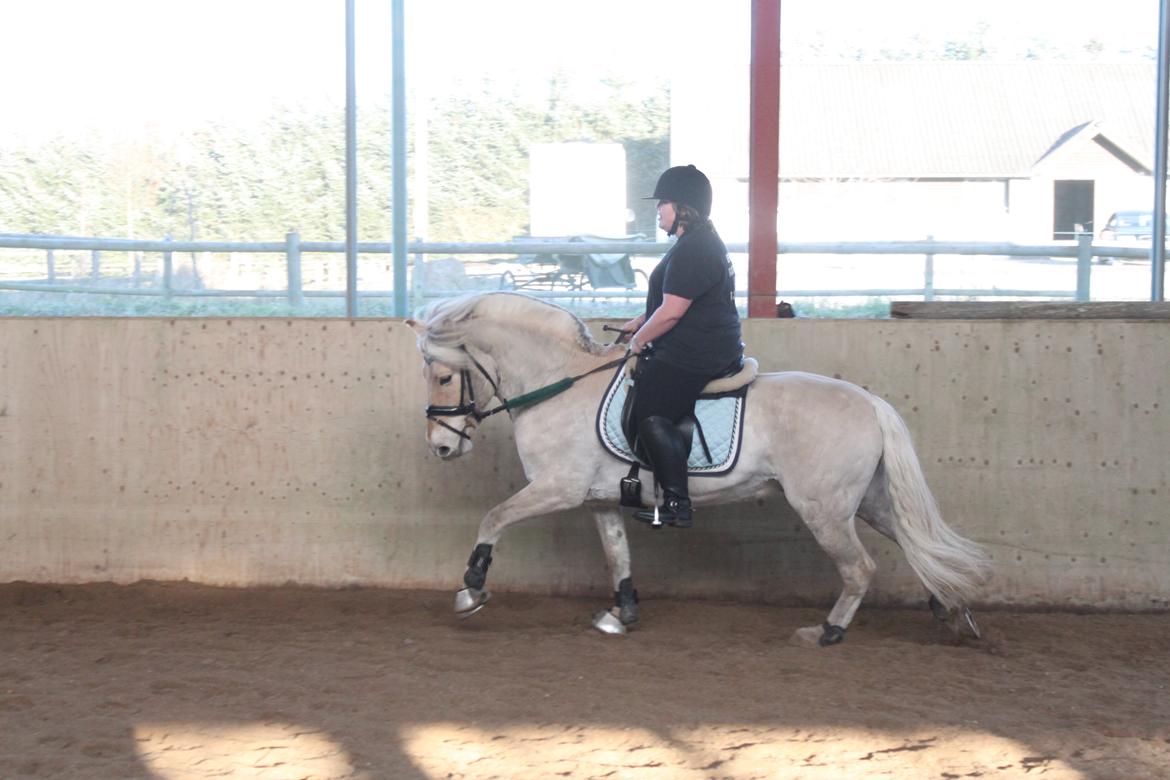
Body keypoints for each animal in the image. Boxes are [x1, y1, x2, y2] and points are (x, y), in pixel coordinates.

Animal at [407, 292, 992, 645]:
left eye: (443, 377)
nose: (441, 447)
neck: (559, 384)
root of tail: (870, 402)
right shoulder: (599, 499)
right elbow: (617, 555)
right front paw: (621, 613)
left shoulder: (559, 487)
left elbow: (493, 518)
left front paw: (471, 589)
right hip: (865, 501)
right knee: (913, 542)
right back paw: (949, 606)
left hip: (824, 509)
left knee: (860, 569)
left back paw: (827, 631)